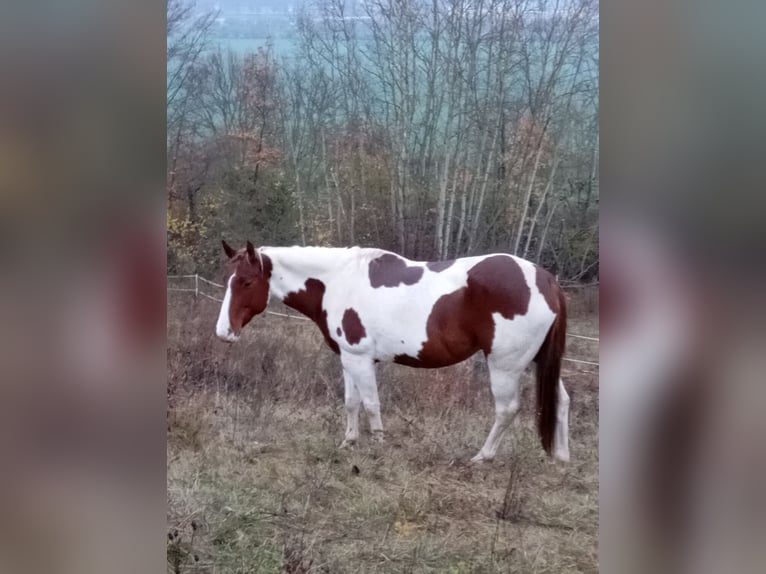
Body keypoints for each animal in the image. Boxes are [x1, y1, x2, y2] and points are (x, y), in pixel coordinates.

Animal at [216, 241, 568, 466]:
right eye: (229, 279)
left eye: (246, 282)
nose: (224, 332)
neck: (337, 281)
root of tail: (547, 279)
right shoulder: (348, 357)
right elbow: (351, 402)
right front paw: (349, 442)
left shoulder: (359, 358)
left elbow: (371, 404)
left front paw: (378, 447)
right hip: (538, 361)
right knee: (562, 401)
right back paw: (560, 458)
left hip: (505, 366)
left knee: (507, 410)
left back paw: (483, 456)